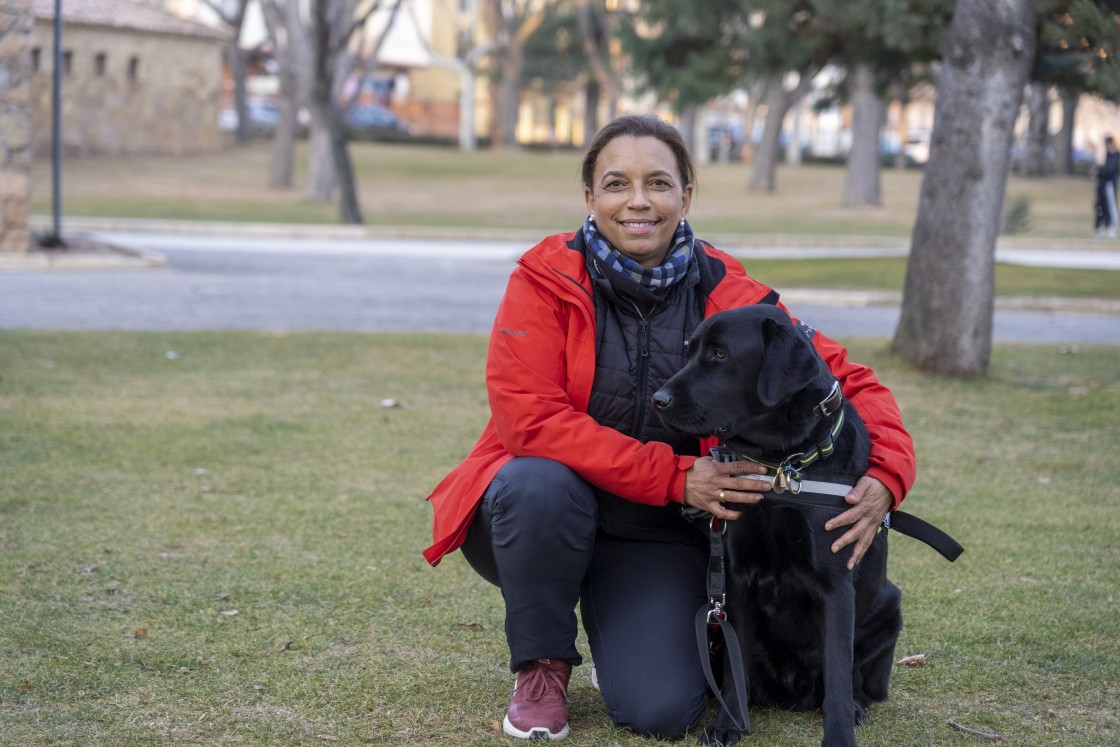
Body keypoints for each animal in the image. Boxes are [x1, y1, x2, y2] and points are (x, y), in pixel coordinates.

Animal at [654, 304, 904, 747]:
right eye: (689, 350)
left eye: (720, 354)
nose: (658, 400)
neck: (780, 464)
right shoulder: (736, 578)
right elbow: (735, 669)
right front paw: (728, 726)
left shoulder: (836, 584)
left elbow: (838, 675)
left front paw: (839, 737)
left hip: (891, 604)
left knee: (855, 682)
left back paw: (858, 706)